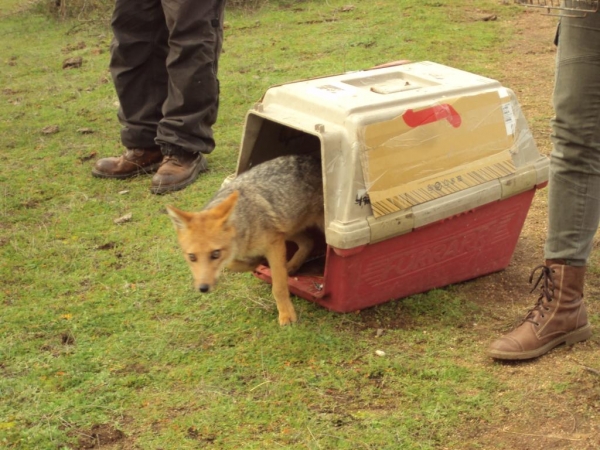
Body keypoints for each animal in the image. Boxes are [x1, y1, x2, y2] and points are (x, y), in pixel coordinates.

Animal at [165, 153, 324, 326]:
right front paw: (255, 263)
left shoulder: (274, 245)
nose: (203, 288)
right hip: (287, 228)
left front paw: (286, 314)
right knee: (308, 241)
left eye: (215, 254)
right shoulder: (271, 242)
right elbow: (232, 265)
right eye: (192, 257)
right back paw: (291, 266)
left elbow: (279, 287)